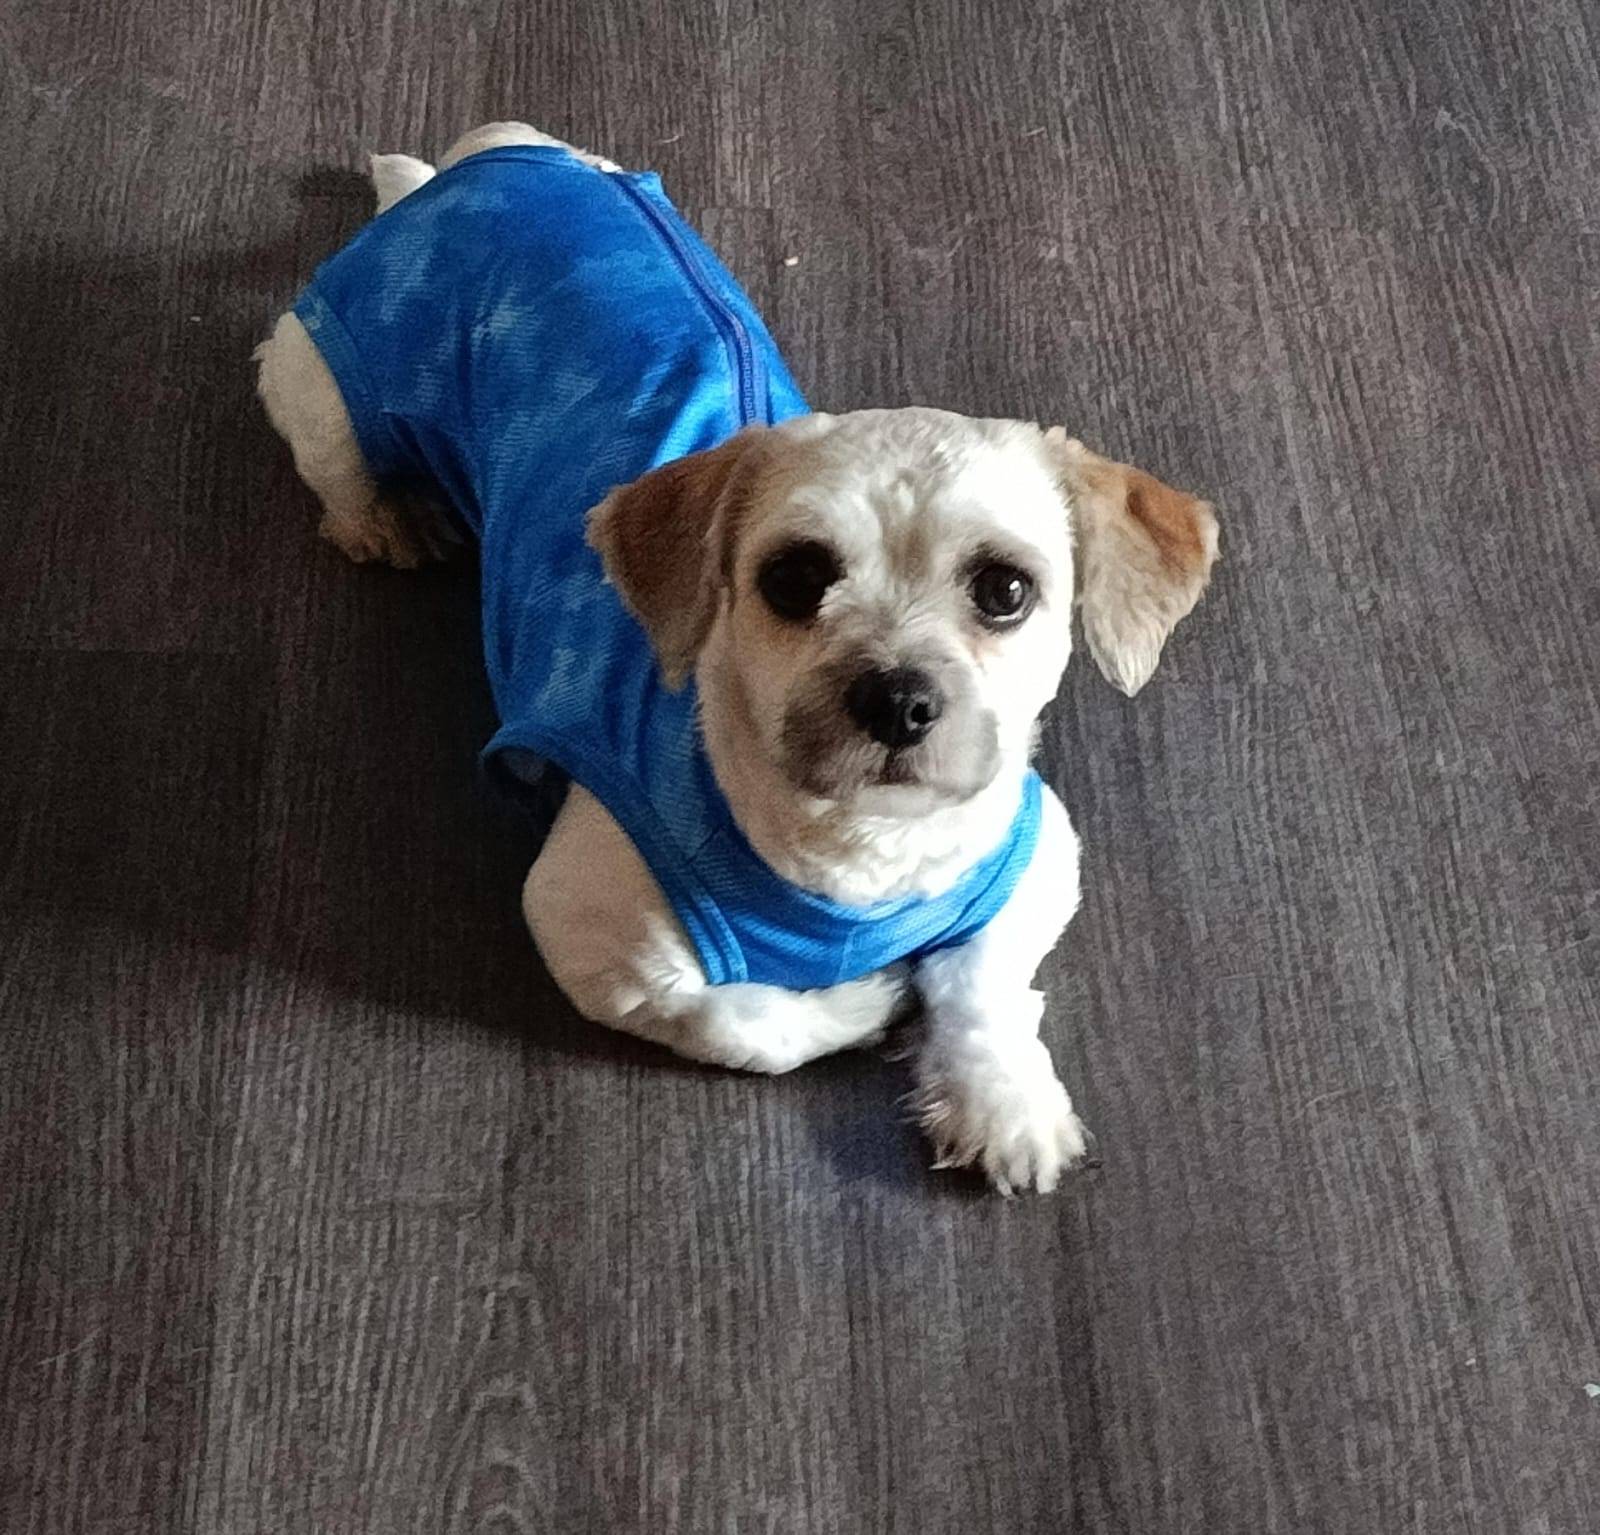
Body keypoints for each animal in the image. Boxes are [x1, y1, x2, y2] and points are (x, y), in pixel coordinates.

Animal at [255, 123, 1219, 1193]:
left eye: (1006, 590)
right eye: (795, 579)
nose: (897, 698)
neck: (854, 853)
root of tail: (470, 173)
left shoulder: (1037, 855)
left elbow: (985, 983)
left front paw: (998, 1094)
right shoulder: (590, 937)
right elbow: (746, 1020)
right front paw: (864, 1003)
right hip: (328, 388)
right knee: (342, 467)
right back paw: (393, 515)